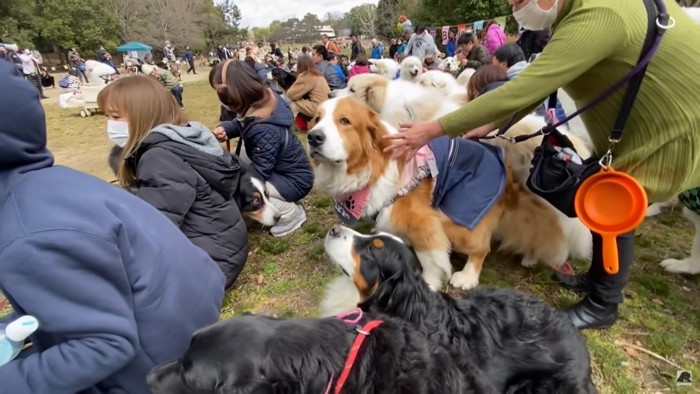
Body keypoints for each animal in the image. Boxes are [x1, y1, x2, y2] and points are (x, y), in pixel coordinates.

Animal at [308, 97, 576, 290]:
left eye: (344, 121)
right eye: (316, 119)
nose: (313, 137)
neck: (372, 163)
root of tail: (505, 166)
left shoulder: (424, 221)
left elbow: (430, 257)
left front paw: (429, 283)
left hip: (460, 221)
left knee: (482, 248)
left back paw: (467, 276)